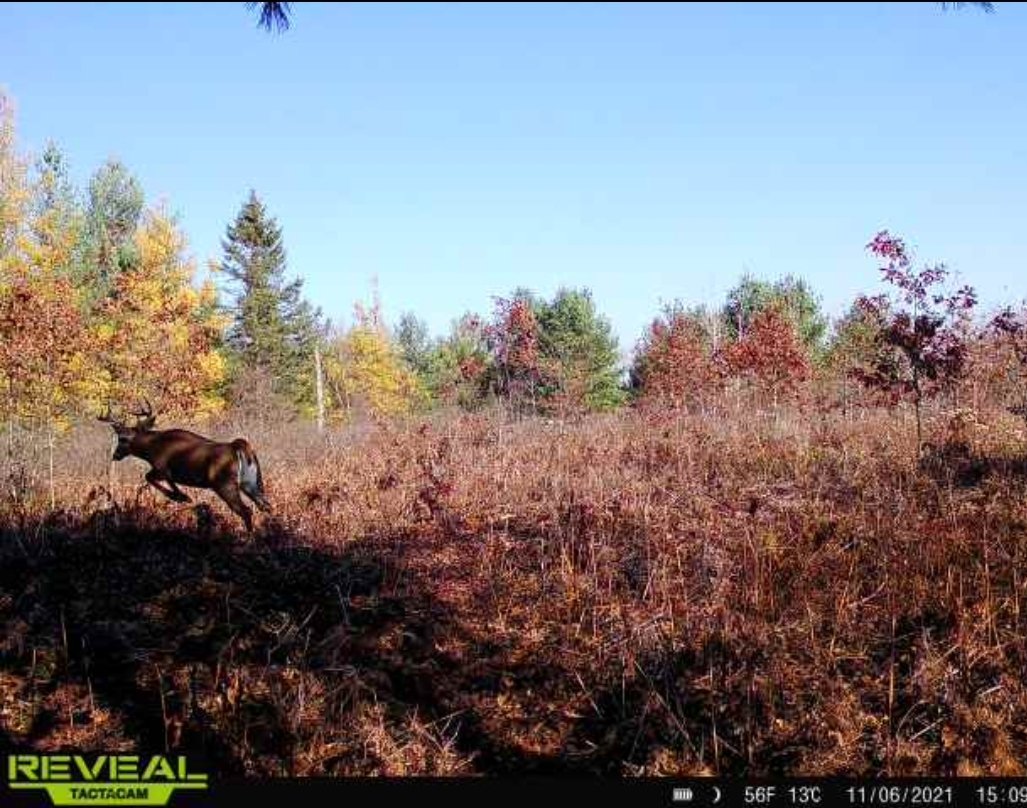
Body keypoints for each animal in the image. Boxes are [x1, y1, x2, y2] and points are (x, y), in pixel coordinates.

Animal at [98, 401, 271, 532]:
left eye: (122, 439)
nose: (115, 455)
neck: (152, 448)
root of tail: (238, 447)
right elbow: (153, 480)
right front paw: (182, 496)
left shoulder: (162, 467)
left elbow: (153, 478)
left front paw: (181, 496)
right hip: (250, 483)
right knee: (265, 506)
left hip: (225, 484)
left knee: (246, 510)